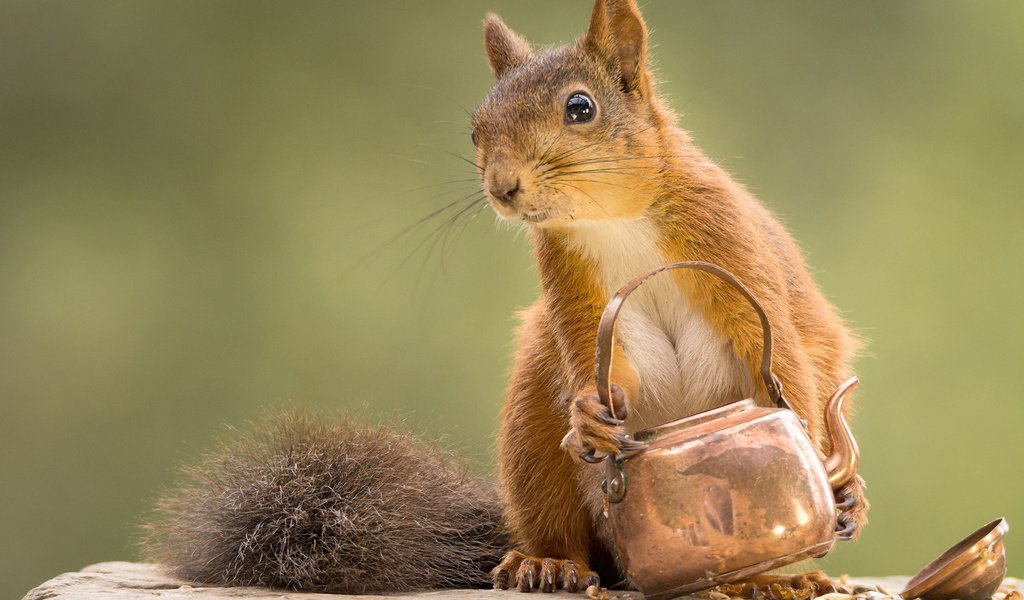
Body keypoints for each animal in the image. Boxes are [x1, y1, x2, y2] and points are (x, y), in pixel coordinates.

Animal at [142, 0, 864, 589]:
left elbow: (782, 357)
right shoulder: (571, 289)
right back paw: (547, 564)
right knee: (564, 527)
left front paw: (819, 465)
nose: (502, 186)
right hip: (533, 433)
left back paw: (783, 573)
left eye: (581, 107)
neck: (614, 219)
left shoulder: (732, 247)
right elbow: (600, 364)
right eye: (476, 129)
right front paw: (589, 415)